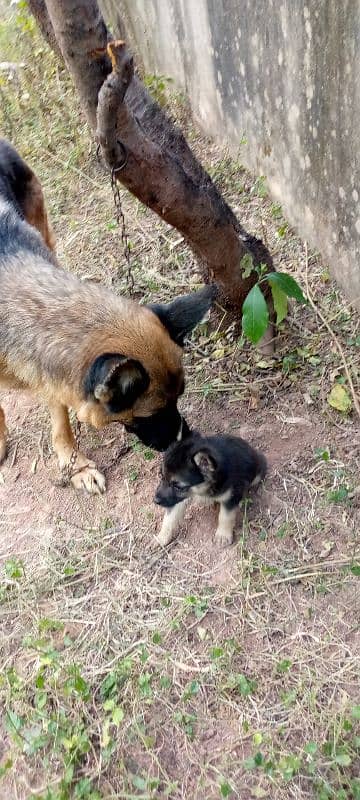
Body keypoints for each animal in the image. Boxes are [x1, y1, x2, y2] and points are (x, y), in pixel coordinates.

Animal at [0, 140, 217, 490]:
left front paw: (74, 465)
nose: (185, 439)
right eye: (149, 414)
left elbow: (59, 416)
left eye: (180, 397)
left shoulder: (49, 371)